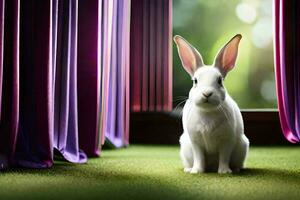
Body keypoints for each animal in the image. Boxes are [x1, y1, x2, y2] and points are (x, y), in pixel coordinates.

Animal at [173, 34, 248, 173]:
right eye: (195, 81)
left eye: (220, 81)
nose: (207, 93)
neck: (207, 112)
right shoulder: (196, 142)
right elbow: (199, 157)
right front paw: (197, 171)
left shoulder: (226, 141)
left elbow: (224, 157)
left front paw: (224, 172)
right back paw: (188, 169)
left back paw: (235, 169)